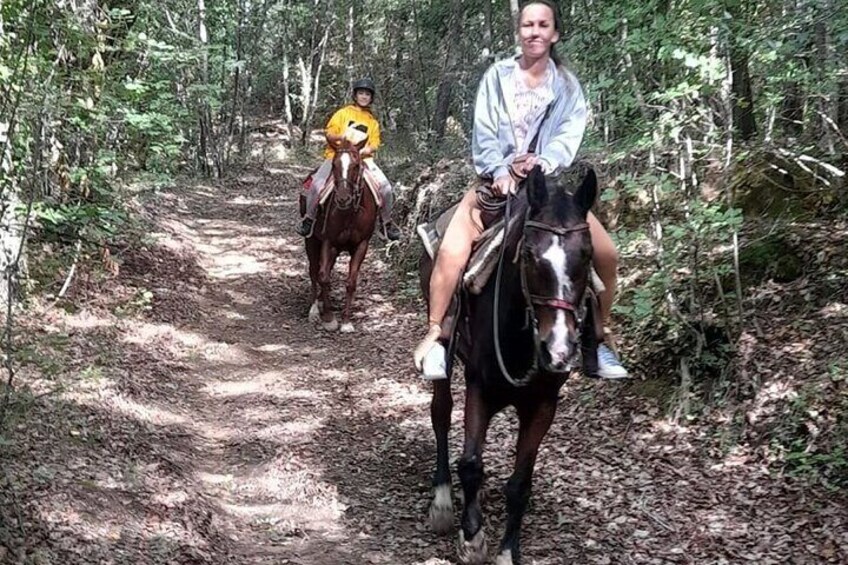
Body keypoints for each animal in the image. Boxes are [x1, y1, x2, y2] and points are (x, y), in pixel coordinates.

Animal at [302, 138, 374, 330]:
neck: (349, 213)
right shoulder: (328, 241)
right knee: (314, 270)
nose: (343, 198)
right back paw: (314, 308)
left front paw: (347, 321)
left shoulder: (362, 244)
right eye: (334, 165)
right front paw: (329, 318)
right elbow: (323, 276)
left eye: (356, 165)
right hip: (312, 240)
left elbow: (351, 281)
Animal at [420, 164, 600, 564]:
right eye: (530, 255)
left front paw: (507, 551)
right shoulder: (480, 387)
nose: (558, 350)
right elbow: (471, 463)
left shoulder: (543, 404)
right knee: (441, 412)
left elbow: (520, 483)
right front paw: (471, 537)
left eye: (587, 256)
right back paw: (442, 500)